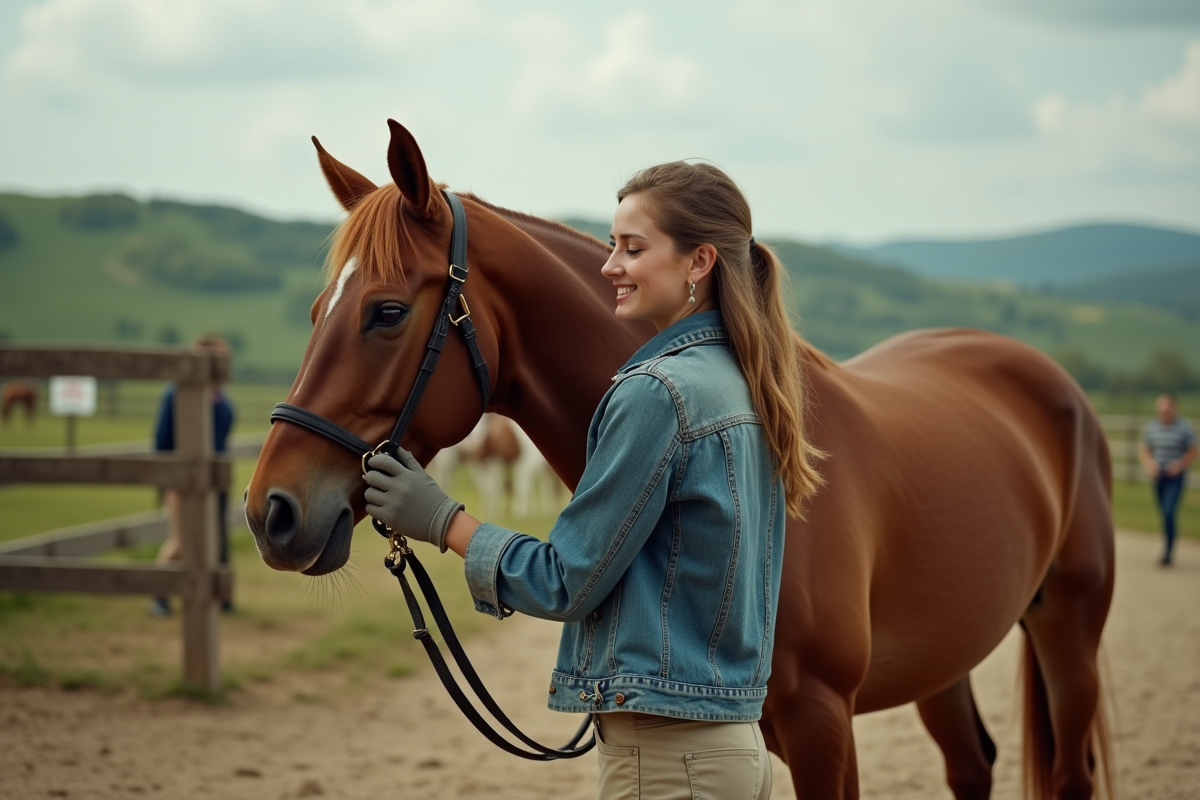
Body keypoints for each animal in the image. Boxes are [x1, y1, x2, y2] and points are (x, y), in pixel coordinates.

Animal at [245, 120, 1114, 799]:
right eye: (318, 309)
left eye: (387, 312)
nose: (270, 513)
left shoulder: (823, 720)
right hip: (946, 661)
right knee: (972, 764)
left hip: (1069, 630)